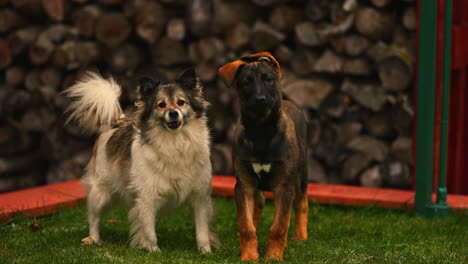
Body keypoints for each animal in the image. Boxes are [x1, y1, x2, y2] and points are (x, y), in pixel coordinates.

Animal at [64, 69, 219, 253]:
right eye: (161, 105)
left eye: (181, 103)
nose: (173, 113)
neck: (175, 142)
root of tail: (117, 123)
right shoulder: (147, 198)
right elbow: (149, 230)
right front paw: (154, 251)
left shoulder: (200, 197)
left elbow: (202, 230)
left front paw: (205, 251)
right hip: (100, 192)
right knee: (94, 217)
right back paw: (94, 239)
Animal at [220, 52, 310, 262]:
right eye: (246, 82)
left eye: (268, 79)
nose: (260, 99)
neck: (261, 131)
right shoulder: (243, 185)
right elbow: (246, 225)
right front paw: (250, 255)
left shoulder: (284, 187)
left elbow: (279, 226)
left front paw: (274, 257)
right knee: (257, 207)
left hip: (300, 175)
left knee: (302, 202)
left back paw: (300, 236)